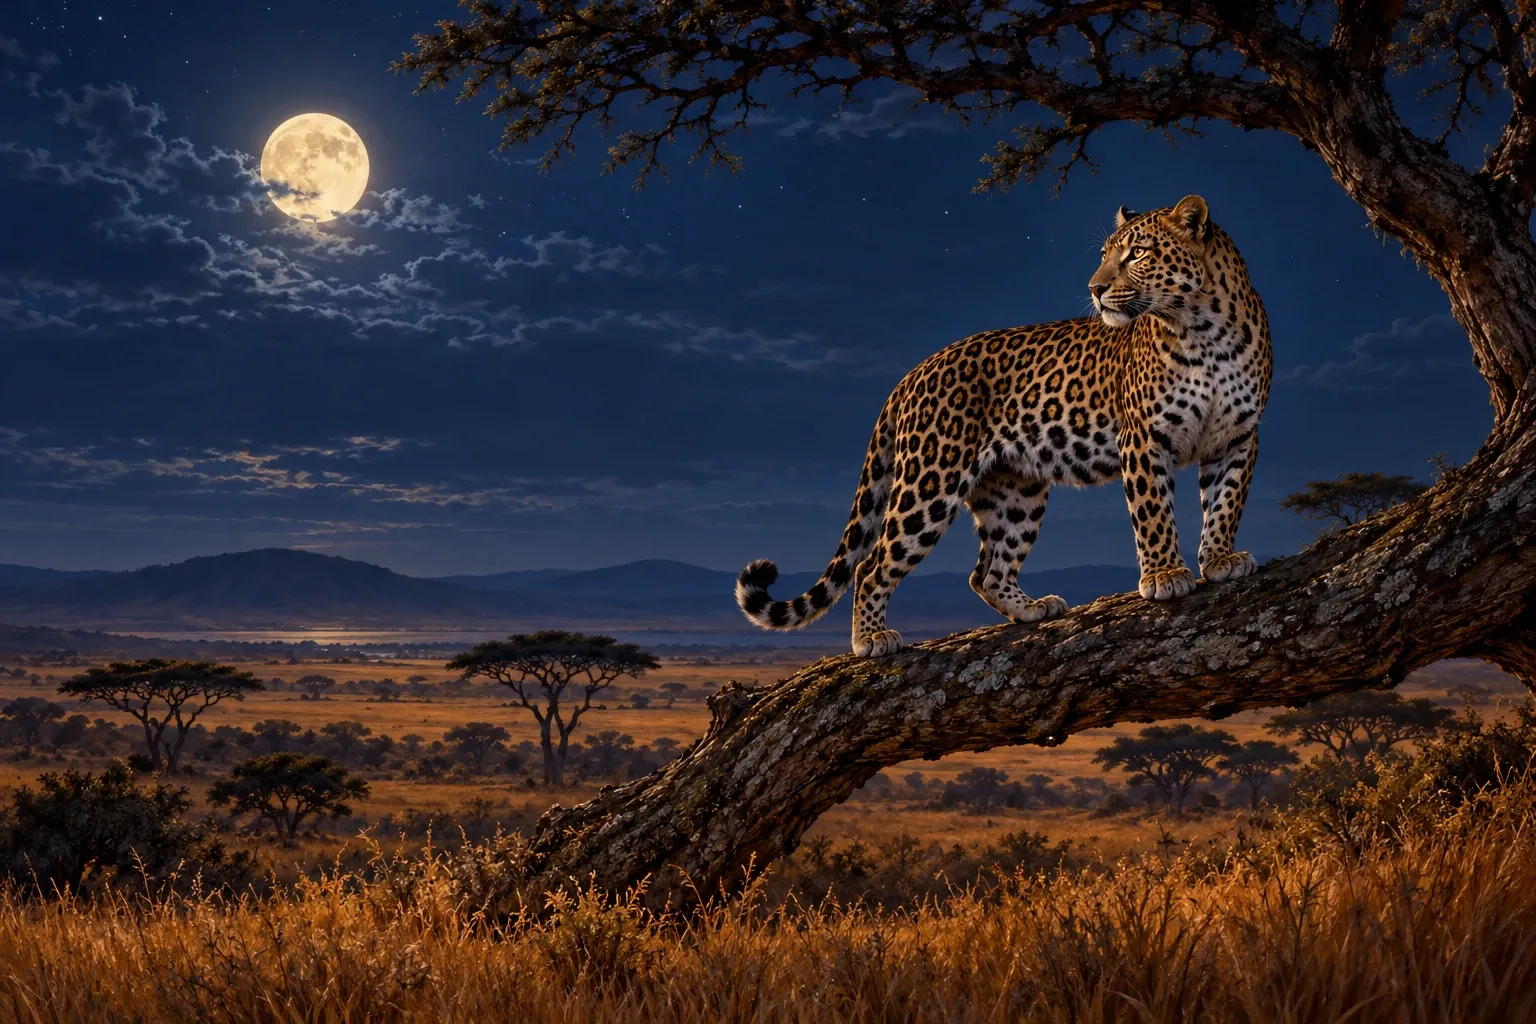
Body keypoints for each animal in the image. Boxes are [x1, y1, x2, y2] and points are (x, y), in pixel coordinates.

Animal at [735, 195, 1273, 657]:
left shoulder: (1238, 436)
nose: (1095, 289)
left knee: (987, 571)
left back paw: (1032, 609)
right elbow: (1154, 512)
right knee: (871, 565)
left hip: (1016, 488)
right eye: (1105, 255)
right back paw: (870, 639)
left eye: (1138, 253)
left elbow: (1225, 503)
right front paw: (1164, 575)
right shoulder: (1143, 438)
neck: (1203, 330)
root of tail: (911, 374)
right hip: (930, 482)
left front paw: (1220, 560)